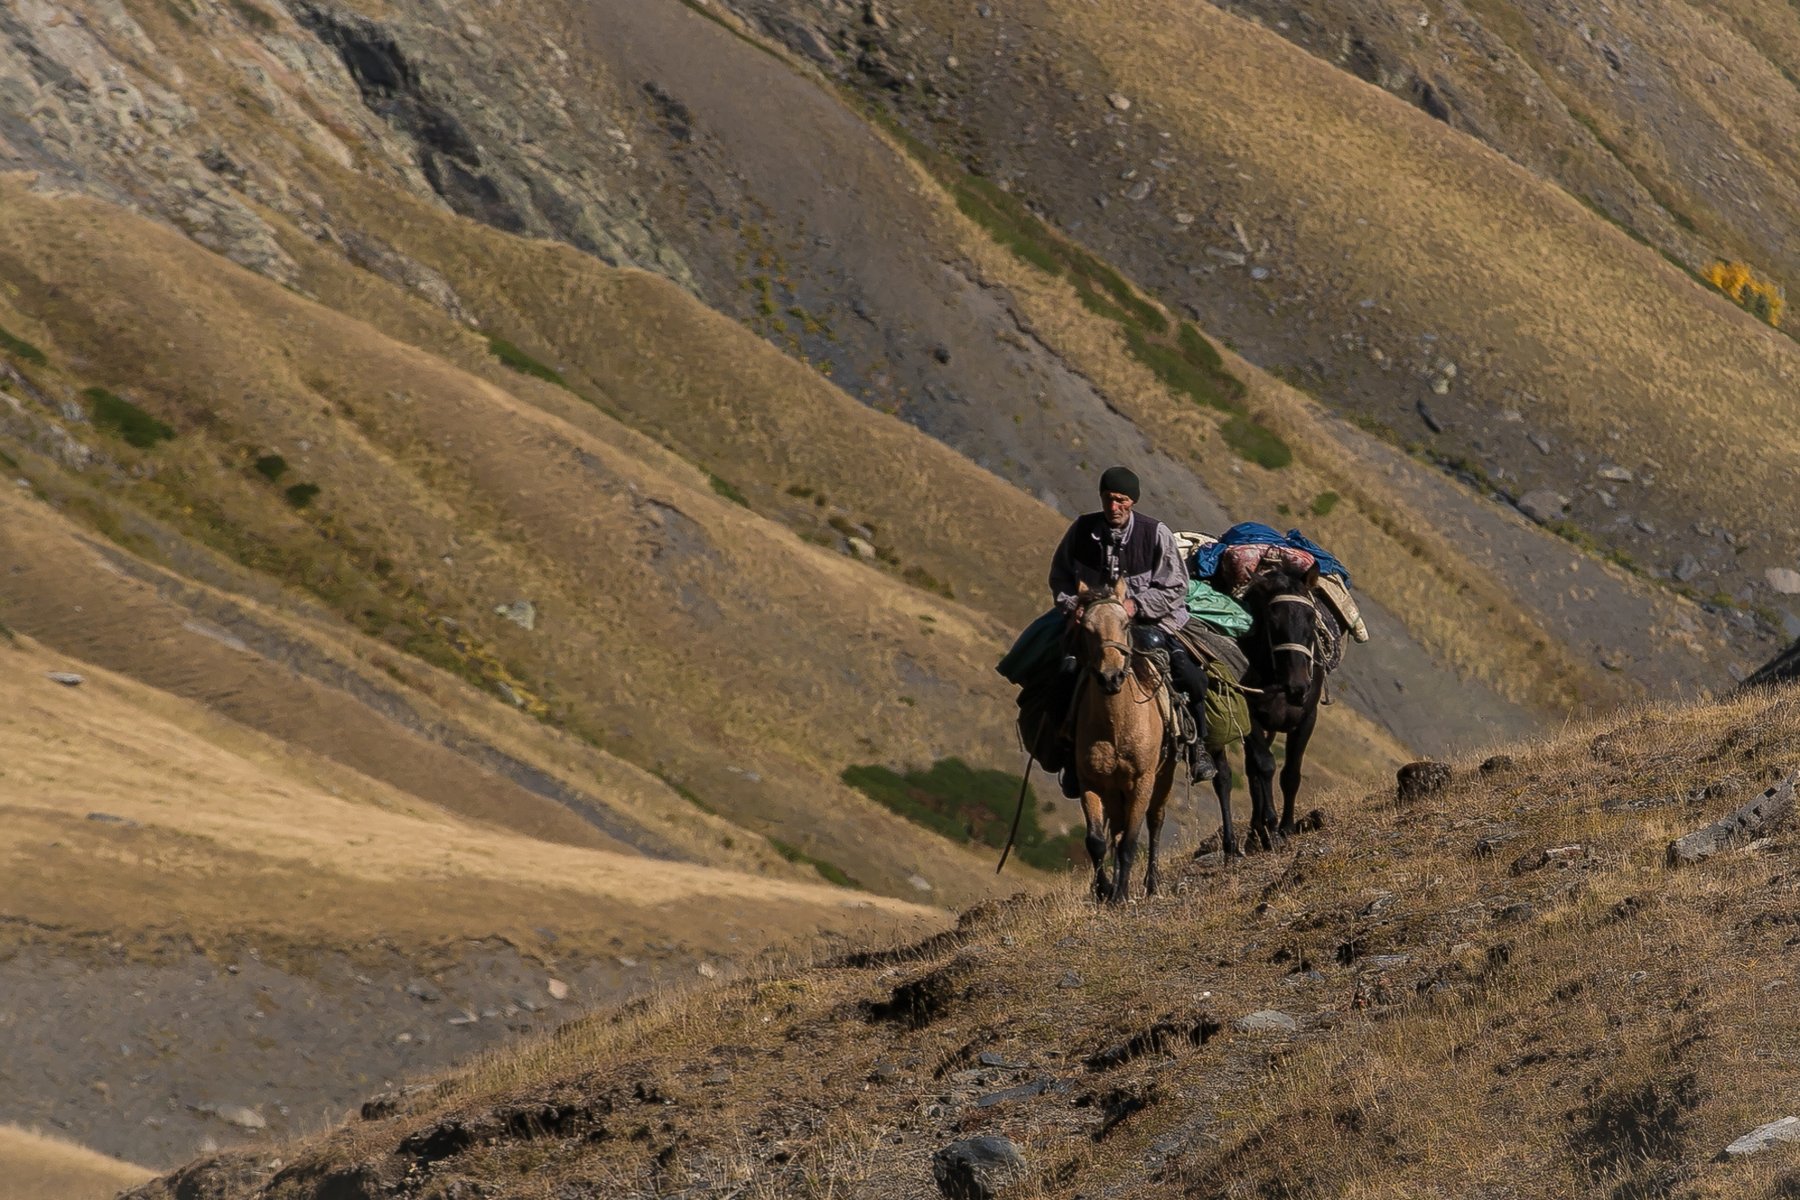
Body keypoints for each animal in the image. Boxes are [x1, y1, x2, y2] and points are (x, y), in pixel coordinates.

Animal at [1065, 579, 1180, 899]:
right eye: (1086, 627)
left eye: (1125, 623)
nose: (1110, 678)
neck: (1116, 726)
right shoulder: (1090, 782)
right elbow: (1096, 841)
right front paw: (1104, 890)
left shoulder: (1143, 781)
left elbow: (1131, 840)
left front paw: (1121, 896)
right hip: (1115, 791)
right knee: (1115, 831)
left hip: (1163, 777)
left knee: (1155, 821)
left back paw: (1151, 884)